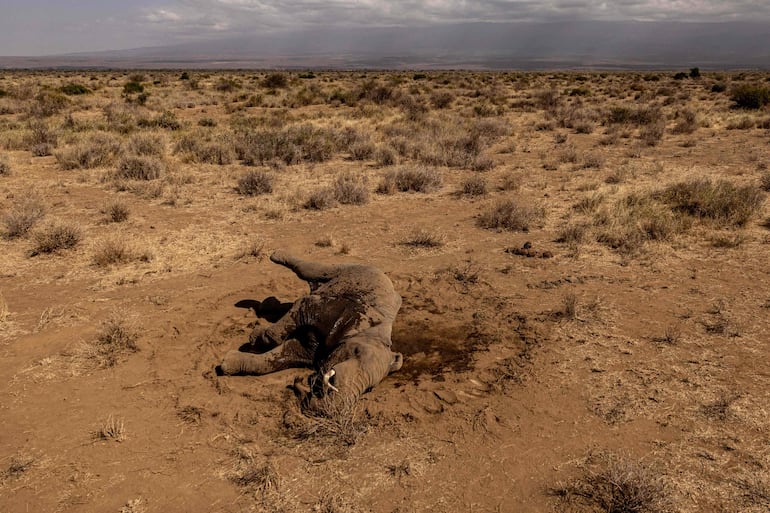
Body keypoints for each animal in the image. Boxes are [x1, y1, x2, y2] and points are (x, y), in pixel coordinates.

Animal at [217, 250, 403, 412]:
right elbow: (302, 305)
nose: (298, 380)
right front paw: (255, 337)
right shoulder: (335, 308)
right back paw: (276, 255)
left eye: (370, 388)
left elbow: (287, 354)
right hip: (351, 269)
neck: (373, 331)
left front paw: (229, 363)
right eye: (355, 352)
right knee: (311, 270)